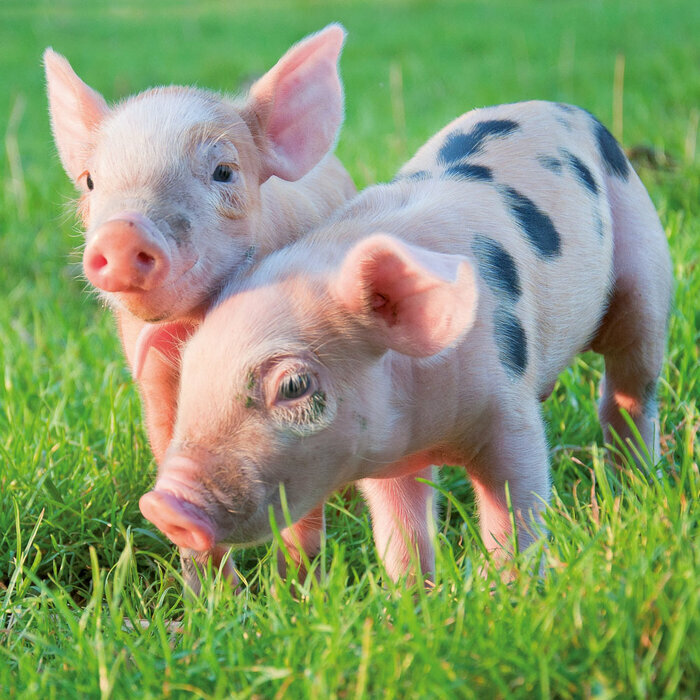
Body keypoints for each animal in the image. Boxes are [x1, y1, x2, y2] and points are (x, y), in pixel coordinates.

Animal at [44, 25, 356, 590]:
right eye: (91, 181)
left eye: (224, 171)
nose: (123, 231)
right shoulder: (150, 372)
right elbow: (170, 443)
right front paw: (212, 597)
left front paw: (298, 593)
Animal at [138, 101, 672, 582]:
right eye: (190, 376)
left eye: (293, 386)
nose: (163, 505)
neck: (430, 432)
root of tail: (571, 110)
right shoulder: (383, 451)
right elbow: (401, 530)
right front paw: (413, 598)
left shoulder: (508, 407)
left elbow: (515, 507)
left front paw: (512, 593)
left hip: (646, 269)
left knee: (630, 386)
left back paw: (638, 483)